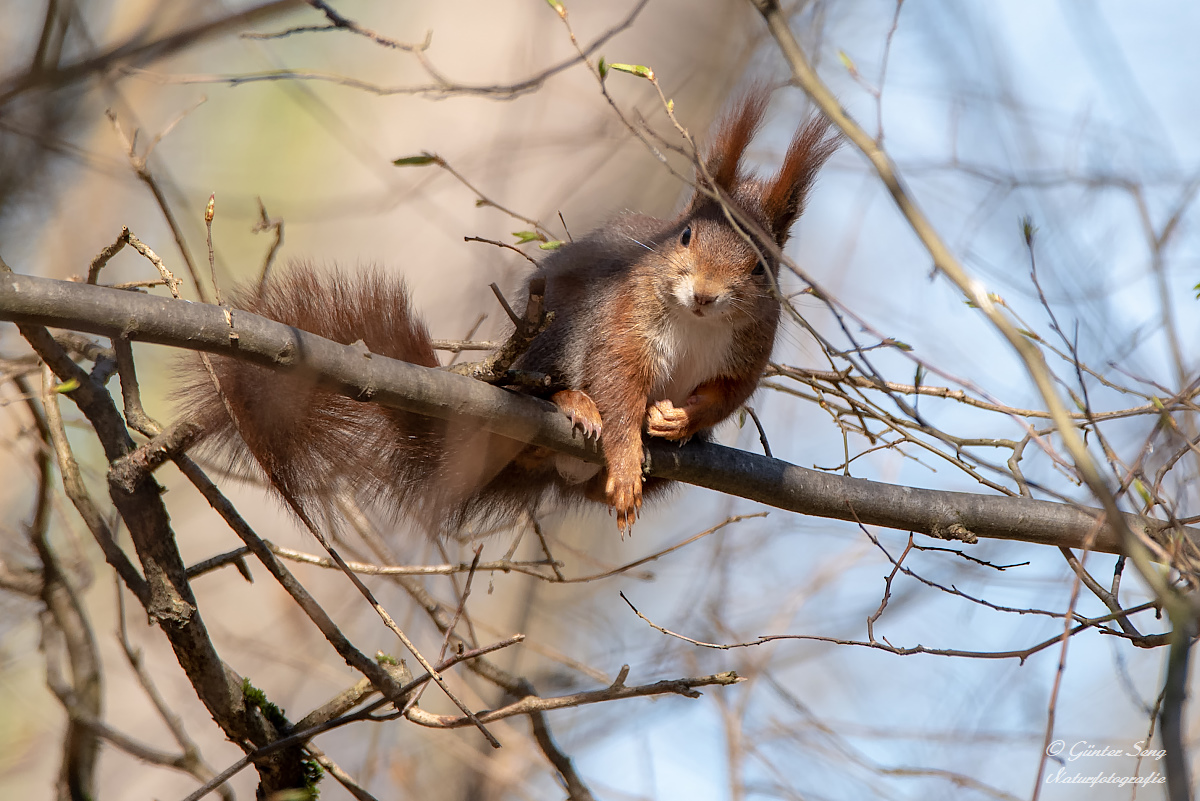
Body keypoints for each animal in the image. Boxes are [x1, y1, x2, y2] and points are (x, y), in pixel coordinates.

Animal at [180, 89, 835, 532]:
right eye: (686, 237)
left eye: (762, 267)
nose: (703, 294)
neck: (698, 325)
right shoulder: (619, 324)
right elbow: (619, 384)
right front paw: (626, 453)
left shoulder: (748, 354)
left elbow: (726, 395)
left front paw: (680, 419)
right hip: (552, 339)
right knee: (541, 388)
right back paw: (574, 406)